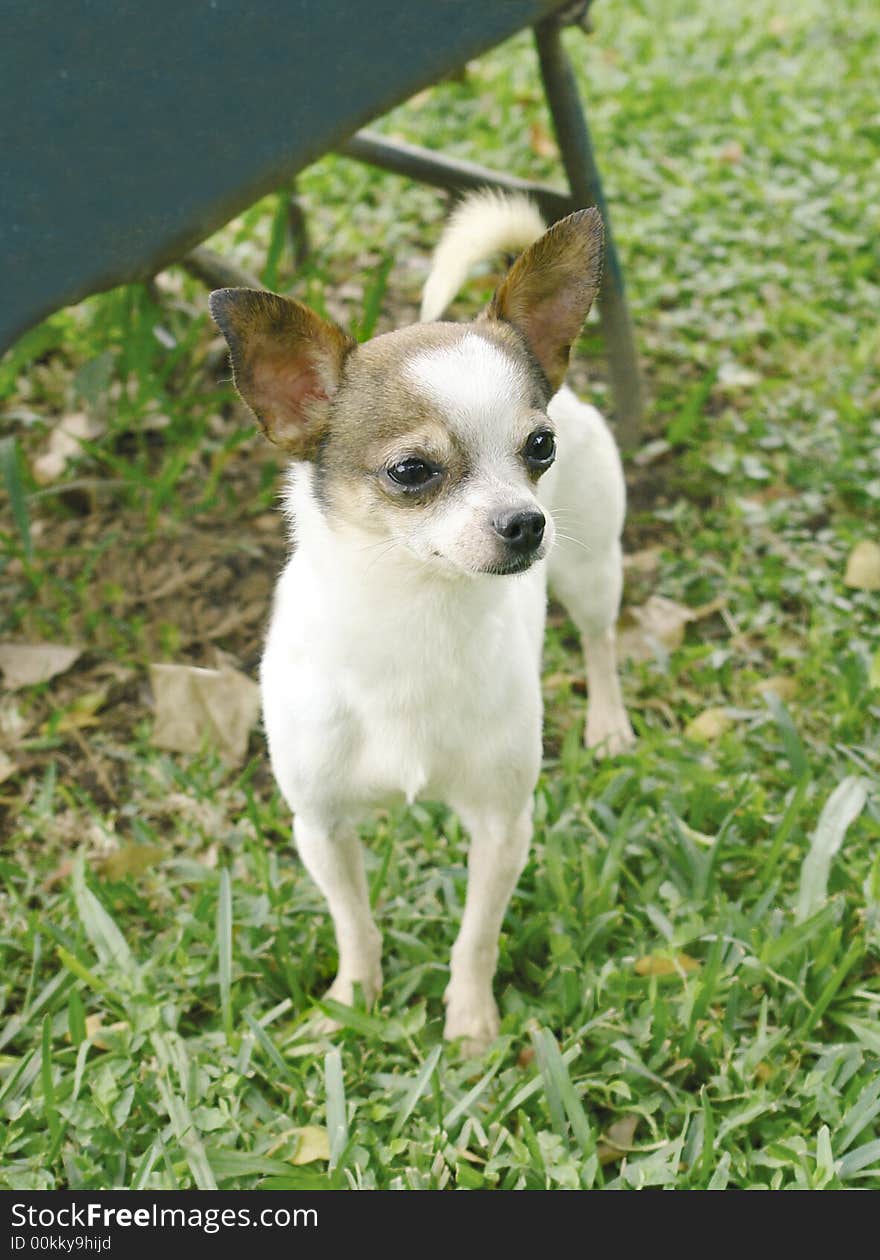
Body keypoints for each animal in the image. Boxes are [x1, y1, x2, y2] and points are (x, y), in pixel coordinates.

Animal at [205, 189, 630, 1053]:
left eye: (540, 446)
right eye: (411, 472)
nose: (526, 522)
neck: (415, 618)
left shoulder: (502, 824)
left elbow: (476, 936)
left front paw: (470, 1026)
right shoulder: (321, 826)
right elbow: (355, 924)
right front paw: (351, 1002)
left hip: (593, 568)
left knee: (599, 637)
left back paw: (607, 722)